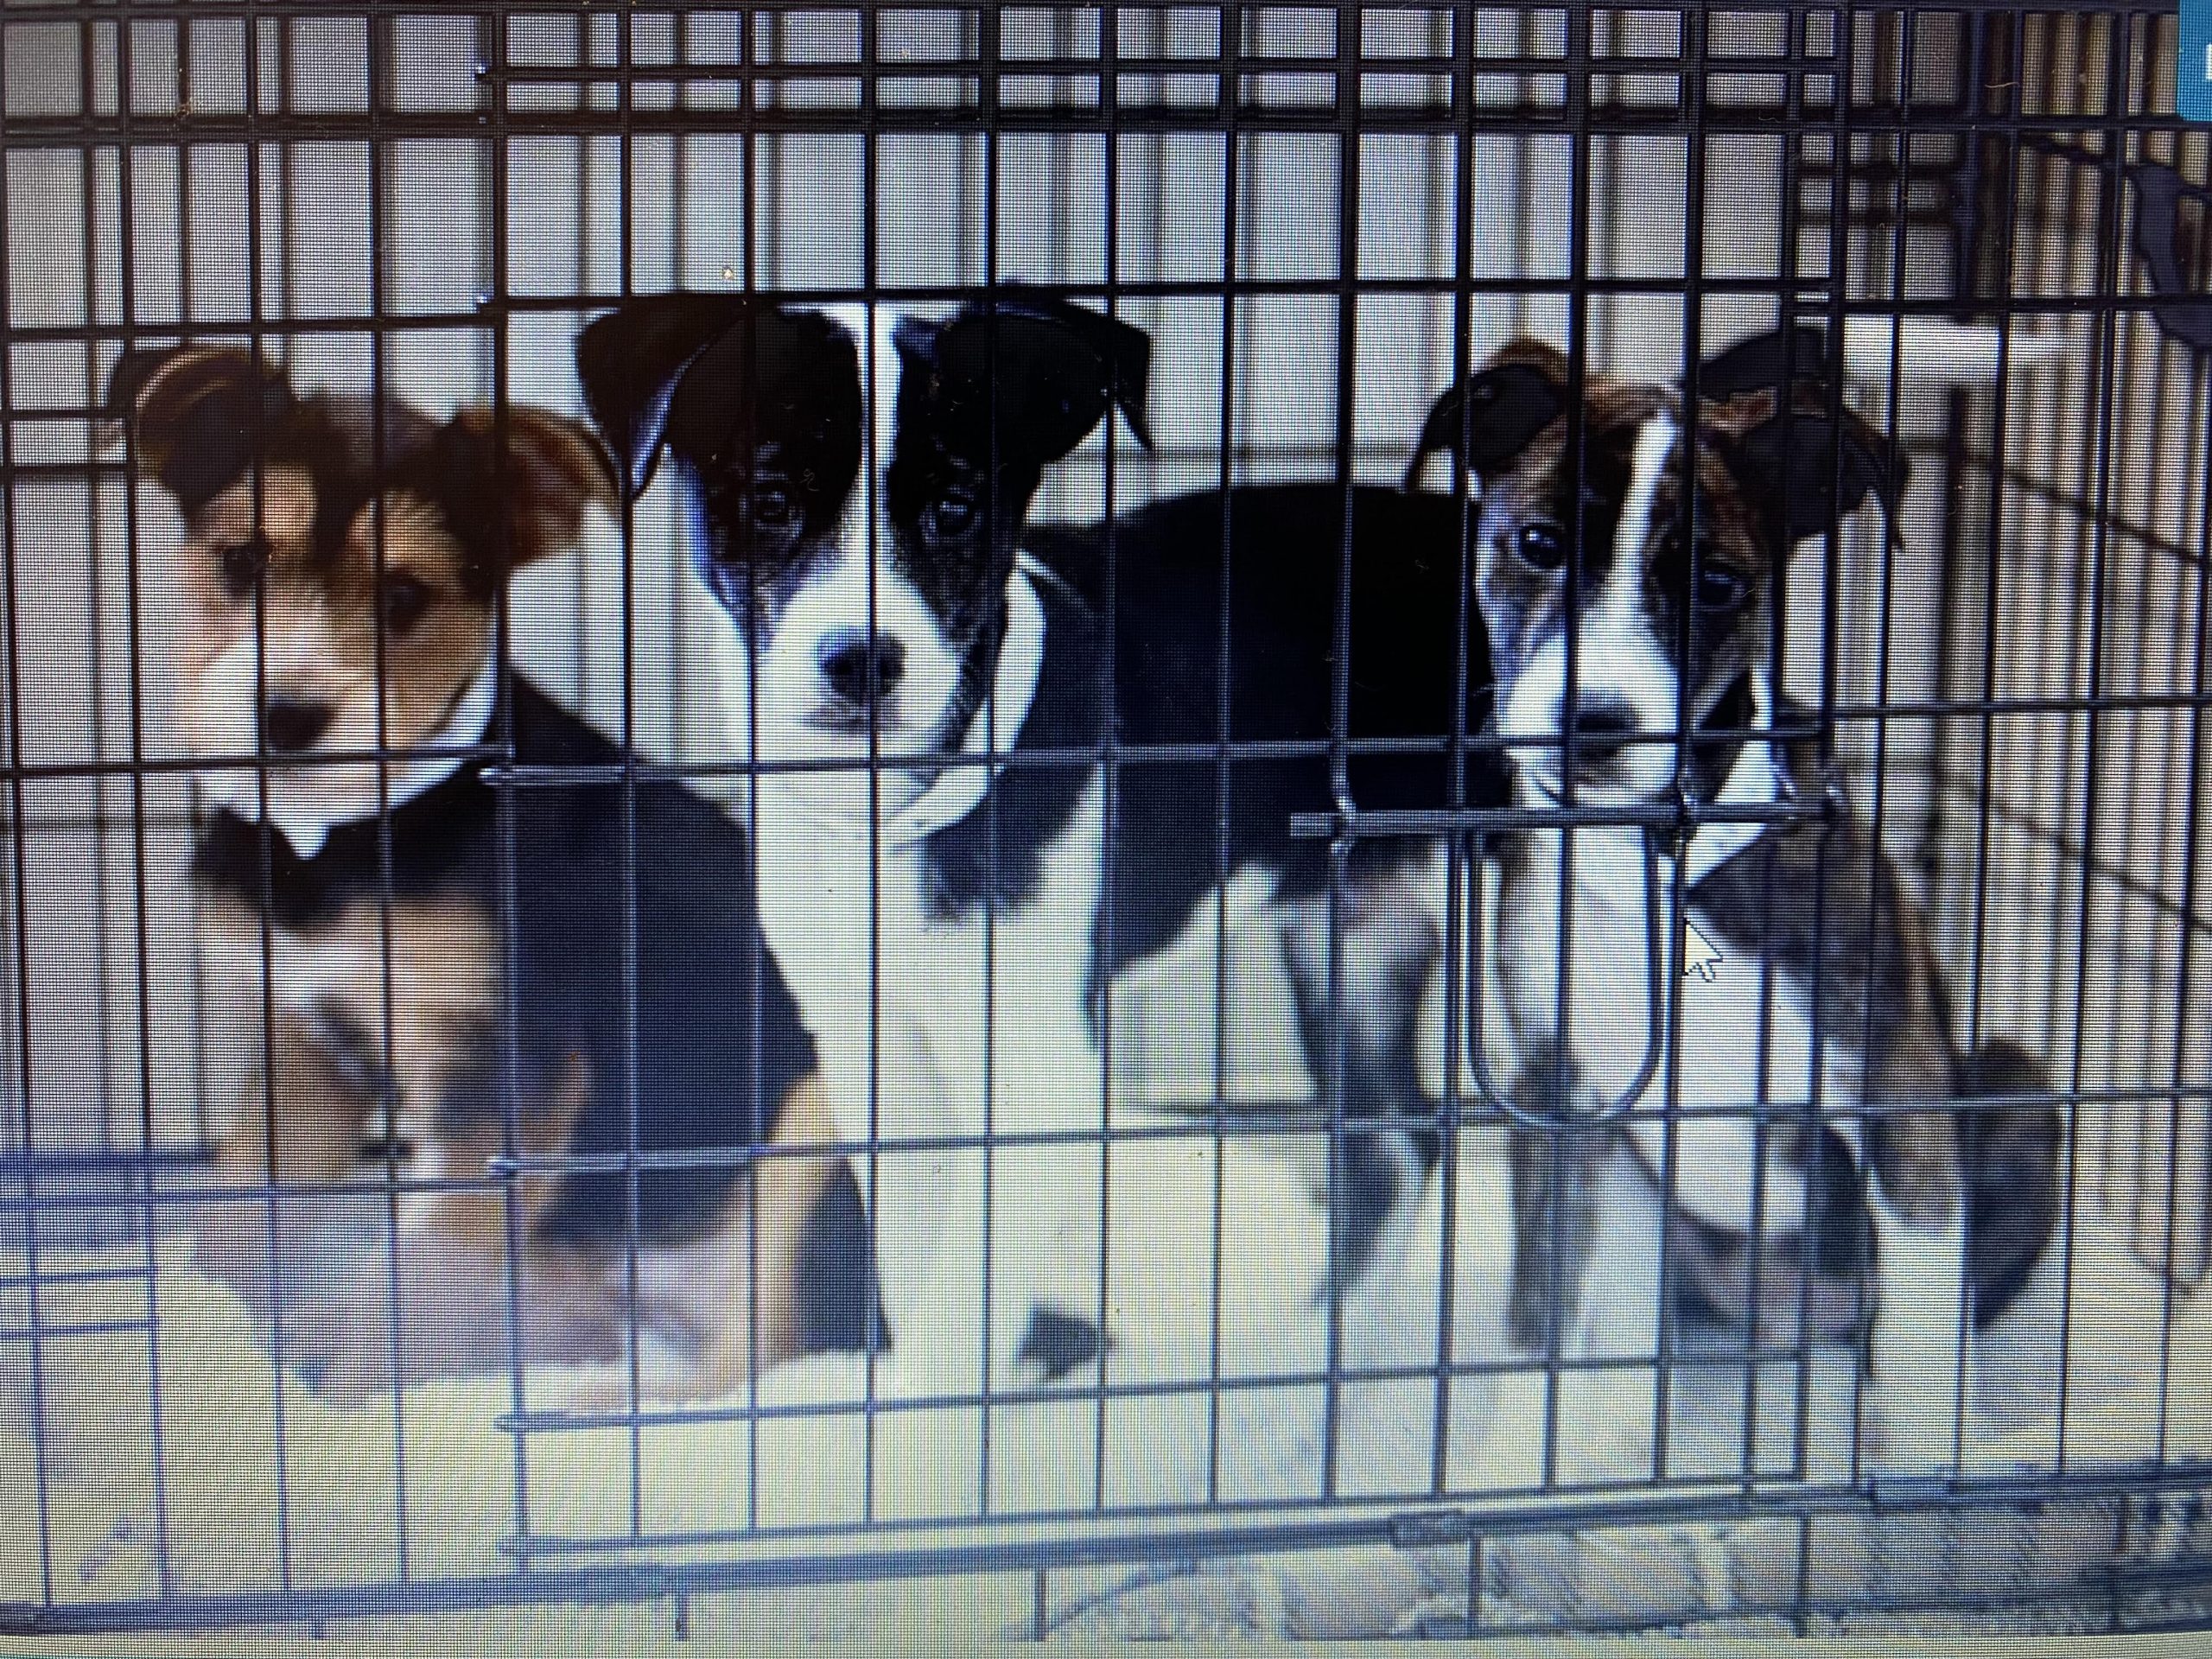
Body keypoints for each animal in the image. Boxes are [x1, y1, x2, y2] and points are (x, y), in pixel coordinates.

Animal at [107, 346, 871, 1407]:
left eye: (403, 598)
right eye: (242, 563)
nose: (286, 717)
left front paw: (358, 1388)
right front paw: (206, 1331)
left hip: (819, 1123)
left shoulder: (507, 1066)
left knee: (770, 1366)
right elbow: (244, 1197)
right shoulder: (307, 1048)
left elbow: (431, 1261)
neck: (359, 828)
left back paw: (596, 1404)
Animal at [570, 291, 1503, 1397]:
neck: (892, 811)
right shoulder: (878, 1056)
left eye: (955, 512)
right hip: (1351, 931)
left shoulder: (1033, 1074)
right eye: (769, 503)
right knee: (1395, 1142)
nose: (862, 662)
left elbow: (961, 1306)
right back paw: (1307, 1366)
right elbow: (914, 1271)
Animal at [1407, 332, 2061, 1478]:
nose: (1593, 723)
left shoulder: (1894, 1098)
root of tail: (1779, 1320)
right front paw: (1517, 1471)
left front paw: (1928, 1476)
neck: (1654, 862)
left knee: (1892, 1323)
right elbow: (1548, 1306)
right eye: (1537, 543)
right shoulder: (1557, 1097)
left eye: (1716, 585)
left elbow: (1925, 1337)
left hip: (2013, 1095)